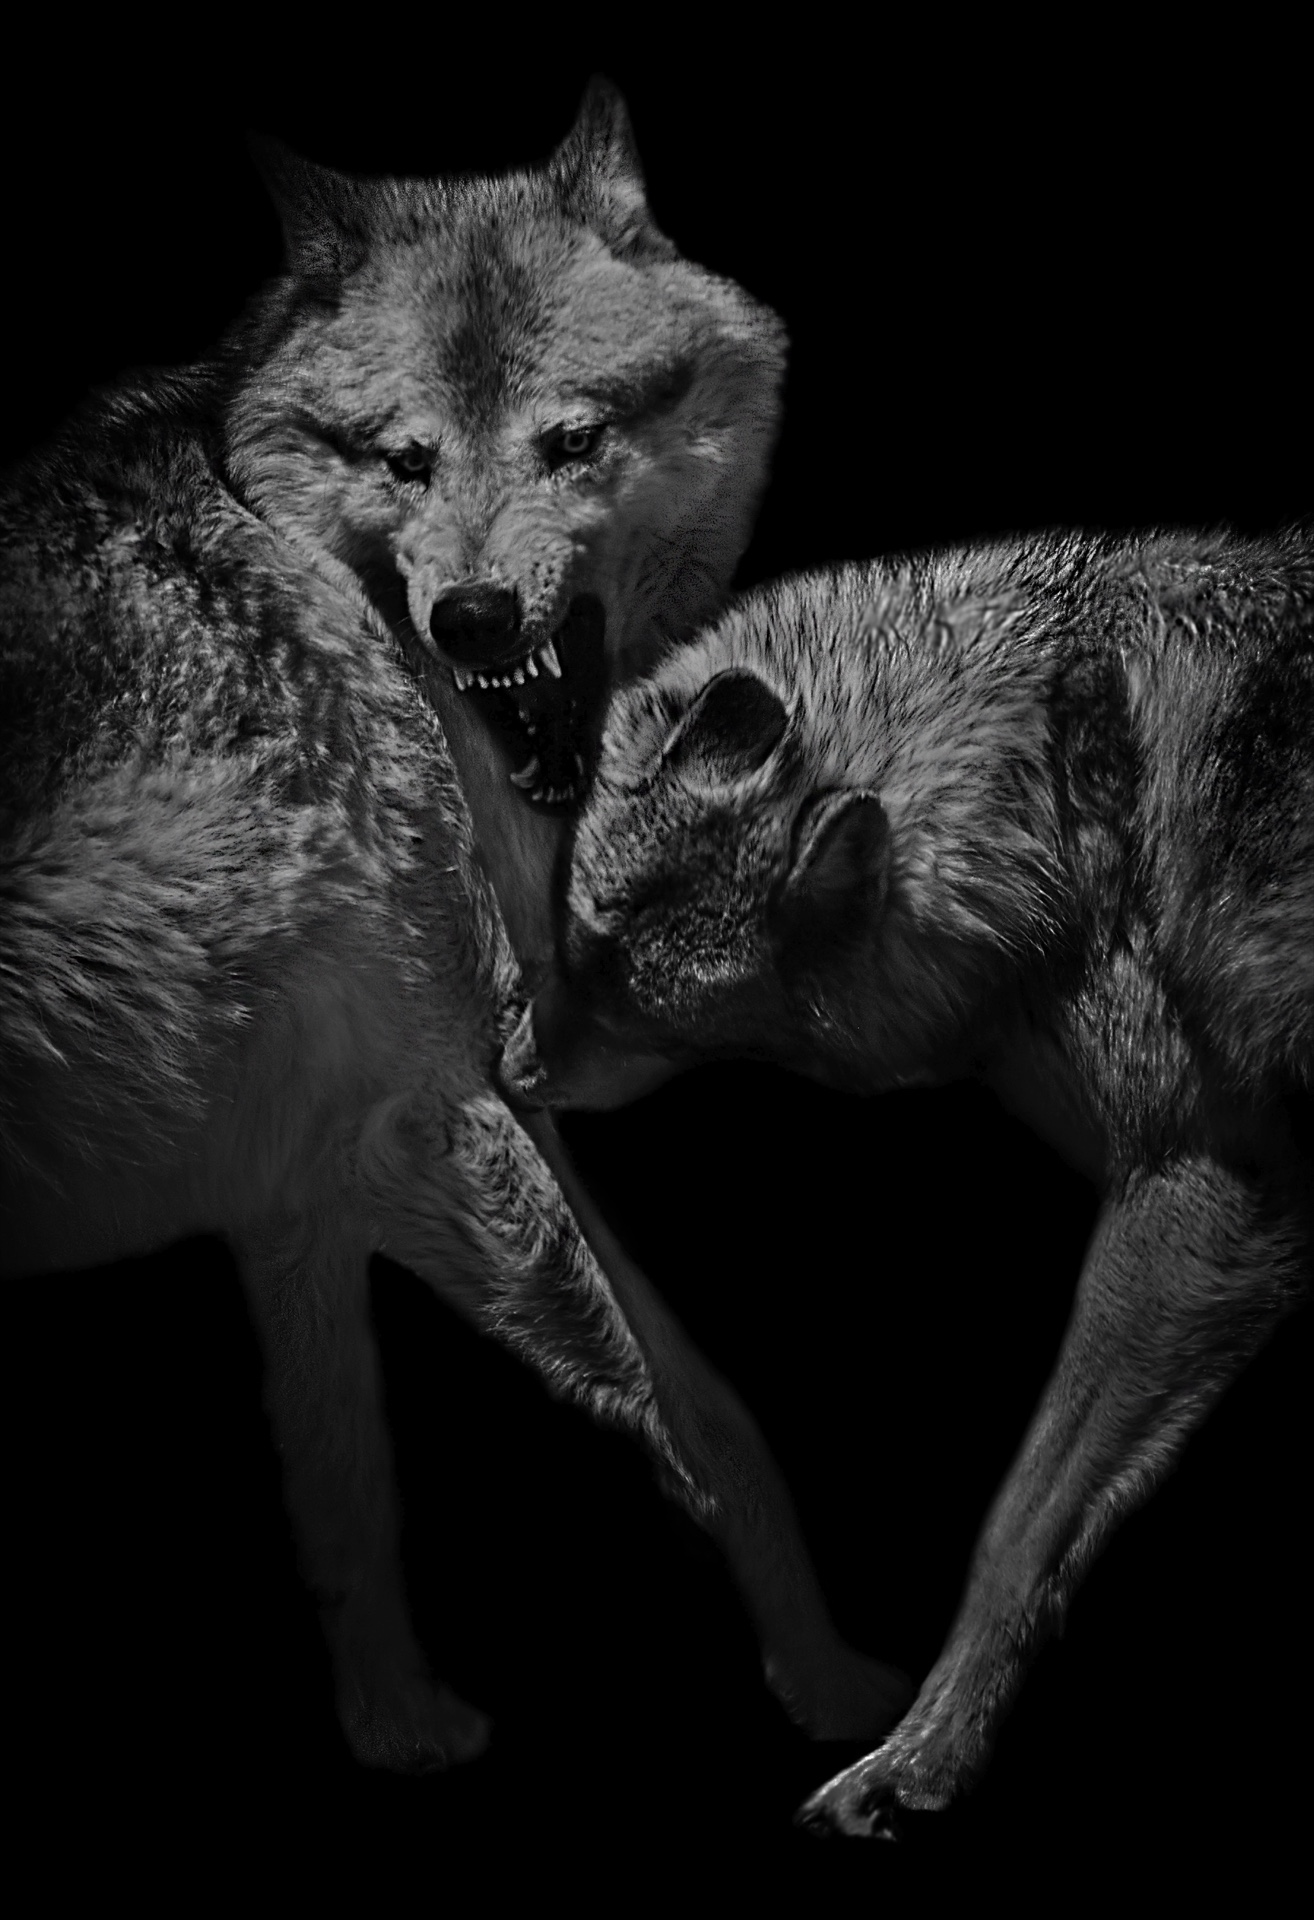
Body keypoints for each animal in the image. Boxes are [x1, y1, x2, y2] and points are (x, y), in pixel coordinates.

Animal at [0, 82, 914, 1774]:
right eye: (402, 459)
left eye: (573, 438)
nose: (477, 616)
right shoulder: (431, 1118)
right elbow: (692, 1428)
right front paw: (835, 1696)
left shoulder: (303, 1180)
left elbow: (353, 1491)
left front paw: (397, 1725)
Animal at [504, 525, 1314, 1833]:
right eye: (580, 935)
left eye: (624, 987)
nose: (506, 1057)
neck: (1050, 785)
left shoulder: (1204, 1184)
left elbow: (1016, 1530)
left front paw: (917, 1759)